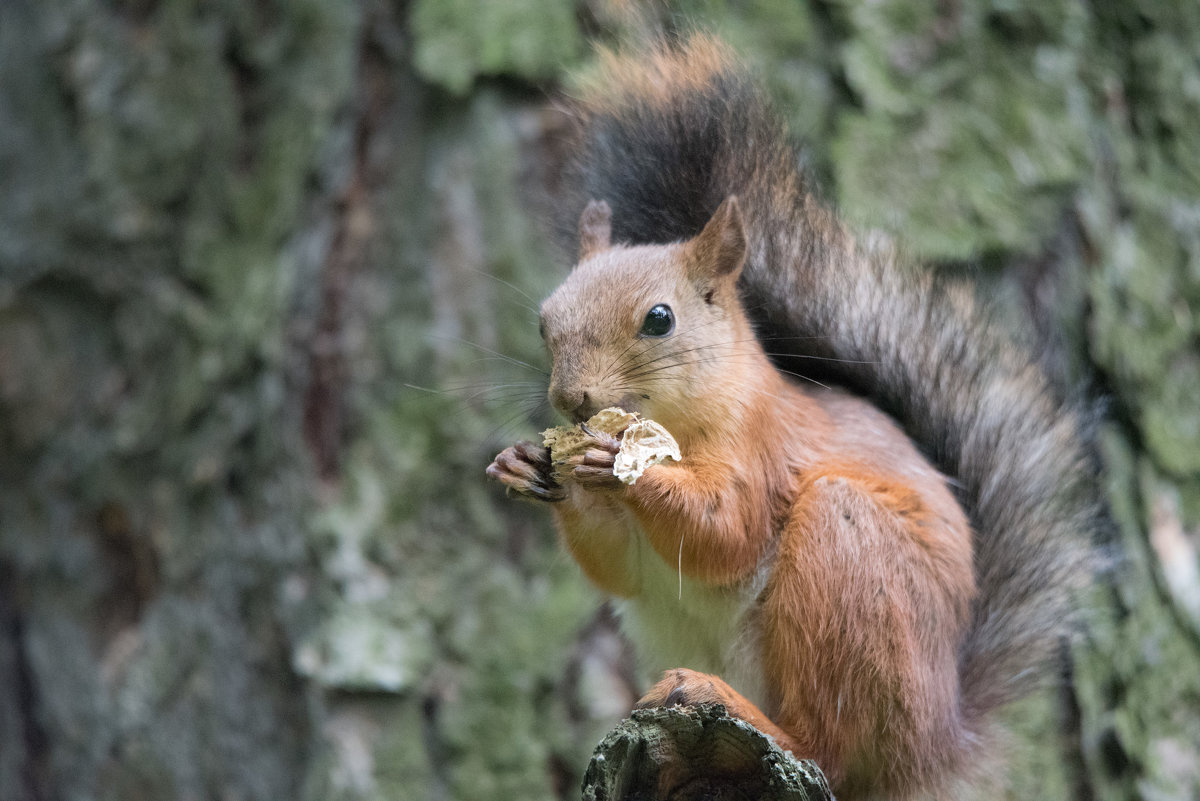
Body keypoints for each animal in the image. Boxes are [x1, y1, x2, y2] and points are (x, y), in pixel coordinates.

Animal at [484, 35, 1099, 801]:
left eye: (659, 319)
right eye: (545, 319)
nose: (572, 401)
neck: (687, 419)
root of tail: (935, 746)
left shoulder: (763, 448)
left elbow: (727, 531)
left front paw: (625, 468)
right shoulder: (629, 559)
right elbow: (615, 564)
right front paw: (528, 465)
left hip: (845, 561)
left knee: (824, 745)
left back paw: (732, 705)